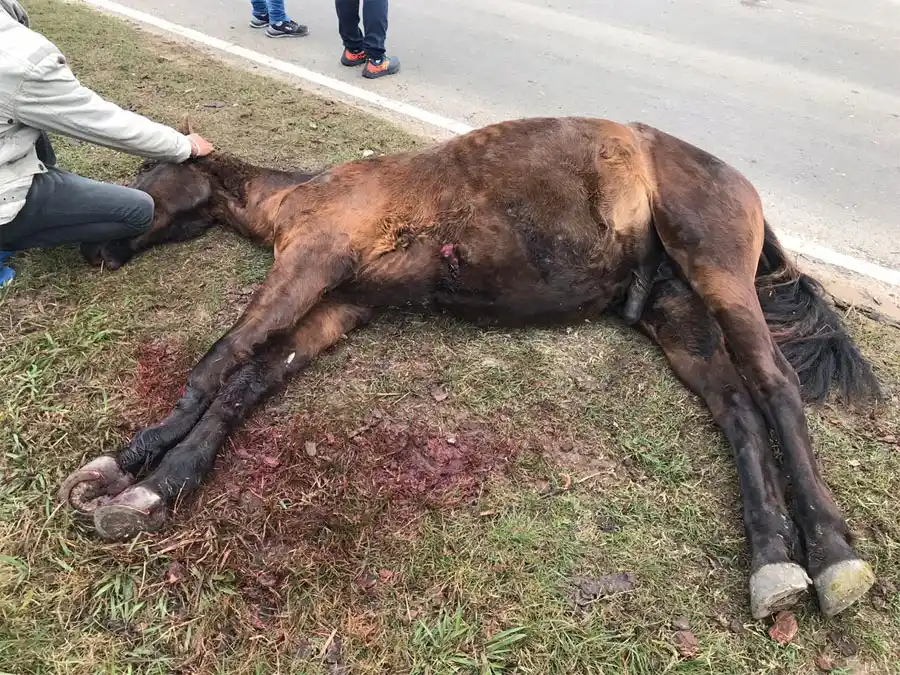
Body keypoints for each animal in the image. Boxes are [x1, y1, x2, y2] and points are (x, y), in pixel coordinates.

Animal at [58, 116, 882, 621]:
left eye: (146, 167)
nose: (92, 249)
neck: (304, 193)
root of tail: (746, 189)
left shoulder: (308, 264)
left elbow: (219, 362)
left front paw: (126, 470)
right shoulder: (337, 305)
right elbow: (246, 386)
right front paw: (157, 484)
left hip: (716, 271)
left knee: (774, 387)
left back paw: (833, 555)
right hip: (676, 314)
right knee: (737, 408)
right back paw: (773, 561)